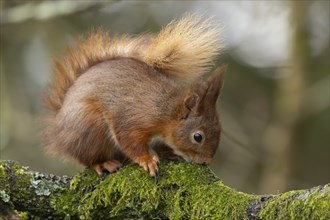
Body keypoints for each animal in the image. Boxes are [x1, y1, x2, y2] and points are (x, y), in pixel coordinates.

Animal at [43, 15, 226, 177]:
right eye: (198, 137)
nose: (206, 162)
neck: (165, 110)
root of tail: (58, 133)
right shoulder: (132, 119)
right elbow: (130, 142)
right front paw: (147, 160)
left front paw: (171, 154)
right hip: (89, 127)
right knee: (89, 157)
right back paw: (103, 163)